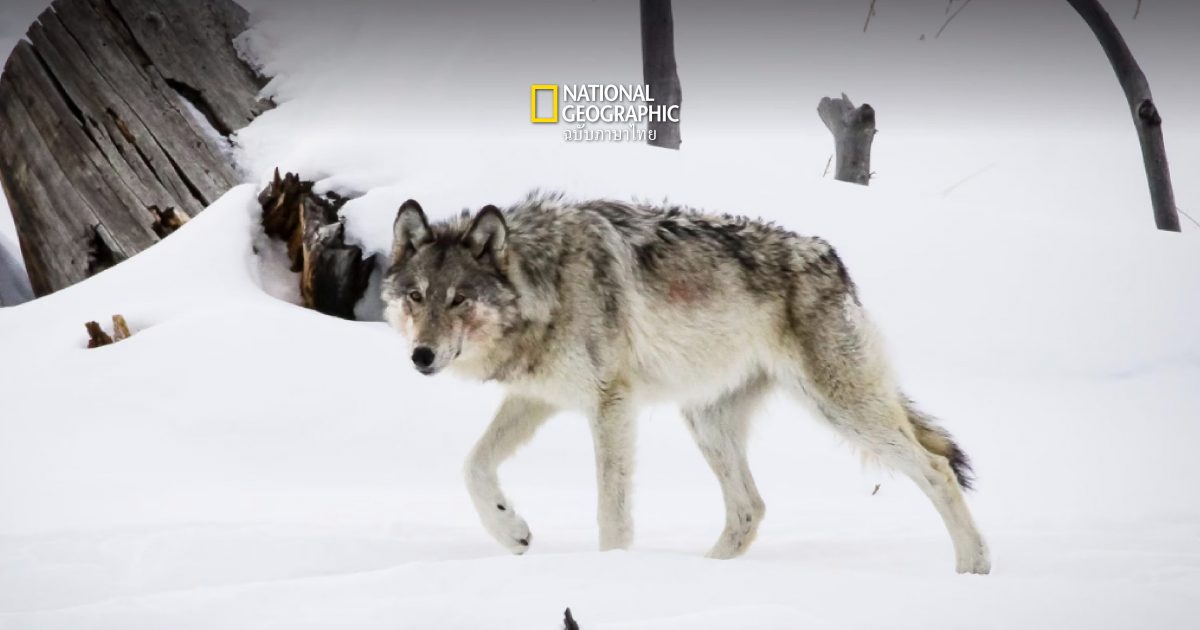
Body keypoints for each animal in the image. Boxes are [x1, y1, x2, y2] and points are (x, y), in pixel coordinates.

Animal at [379, 193, 988, 573]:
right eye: (416, 296)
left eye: (460, 298)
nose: (421, 356)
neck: (544, 283)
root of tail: (832, 258)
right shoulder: (536, 397)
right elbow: (473, 466)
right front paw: (512, 530)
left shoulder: (610, 403)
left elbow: (612, 512)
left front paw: (611, 570)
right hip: (708, 421)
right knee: (749, 509)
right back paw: (705, 576)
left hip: (840, 407)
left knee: (936, 468)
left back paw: (973, 568)